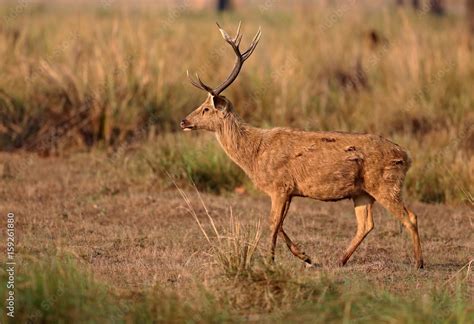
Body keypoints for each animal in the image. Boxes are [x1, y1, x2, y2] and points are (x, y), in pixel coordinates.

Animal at [180, 23, 424, 268]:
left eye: (206, 109)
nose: (184, 121)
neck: (254, 154)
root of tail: (407, 156)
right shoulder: (289, 191)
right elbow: (279, 225)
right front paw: (306, 257)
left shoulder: (279, 185)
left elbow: (273, 223)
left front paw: (271, 260)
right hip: (362, 192)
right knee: (366, 224)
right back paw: (340, 260)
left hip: (385, 183)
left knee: (410, 216)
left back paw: (418, 262)